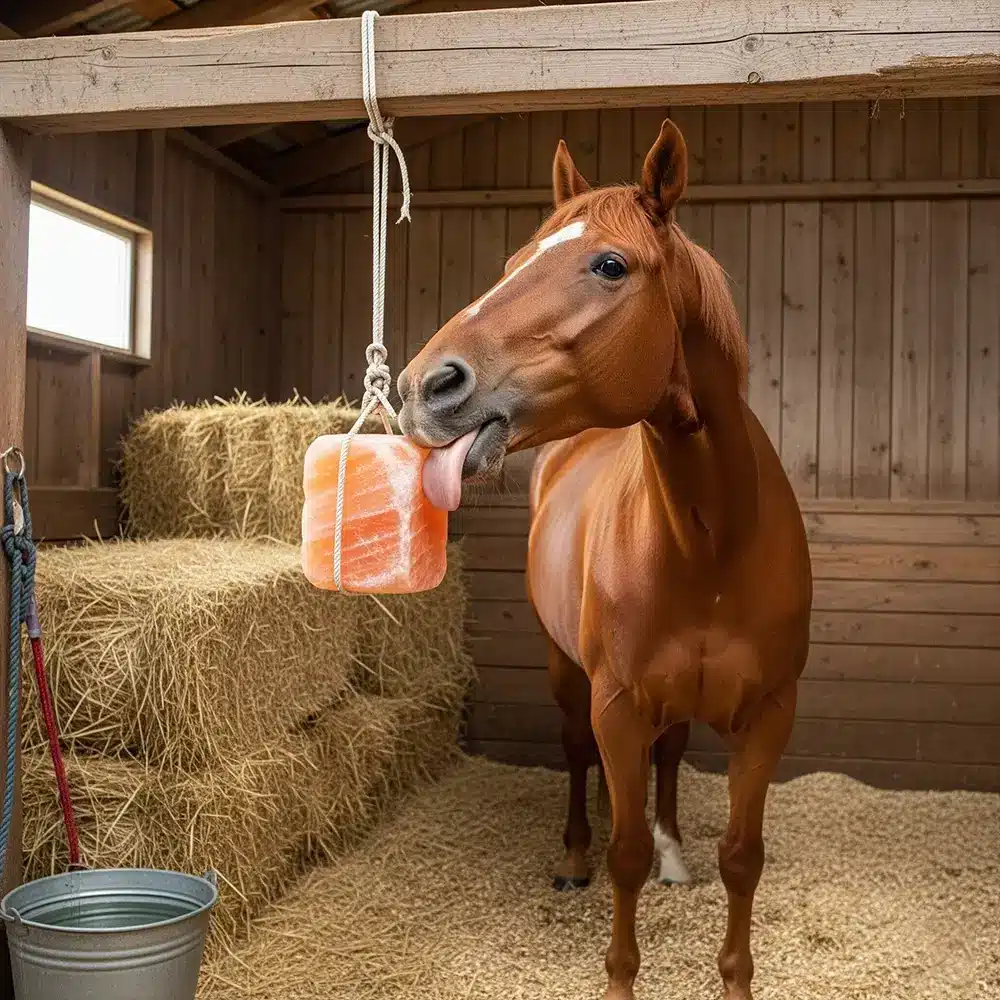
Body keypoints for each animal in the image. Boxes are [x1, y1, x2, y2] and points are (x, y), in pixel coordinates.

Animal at [397, 118, 813, 1000]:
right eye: (514, 264)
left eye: (611, 265)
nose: (423, 387)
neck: (709, 542)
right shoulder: (616, 707)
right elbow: (622, 850)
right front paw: (619, 970)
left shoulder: (770, 714)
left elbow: (742, 858)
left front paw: (734, 975)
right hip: (566, 674)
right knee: (575, 758)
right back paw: (573, 854)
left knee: (673, 759)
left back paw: (673, 853)